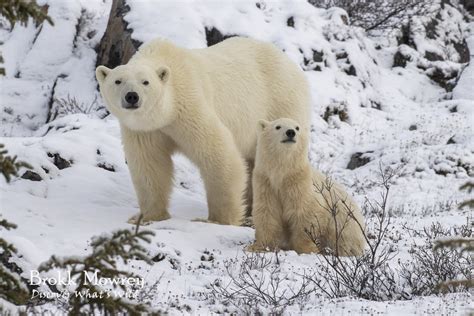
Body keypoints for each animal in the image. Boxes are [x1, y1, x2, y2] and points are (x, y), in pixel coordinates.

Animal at [96, 37, 312, 225]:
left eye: (145, 82)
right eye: (118, 81)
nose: (132, 96)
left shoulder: (189, 105)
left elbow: (218, 154)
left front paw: (218, 219)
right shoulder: (145, 129)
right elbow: (150, 165)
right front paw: (147, 216)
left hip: (279, 103)